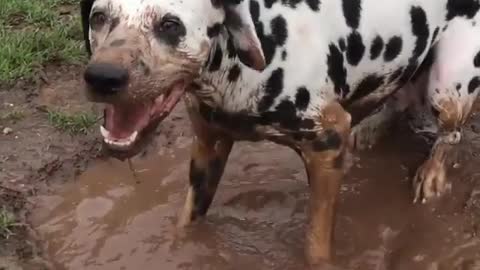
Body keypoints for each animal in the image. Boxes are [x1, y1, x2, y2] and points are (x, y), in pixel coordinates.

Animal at [80, 0, 480, 266]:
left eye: (170, 25)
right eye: (98, 17)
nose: (102, 77)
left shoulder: (327, 146)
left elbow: (316, 247)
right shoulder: (208, 146)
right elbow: (188, 223)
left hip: (448, 86)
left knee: (450, 134)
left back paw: (432, 174)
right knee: (400, 96)